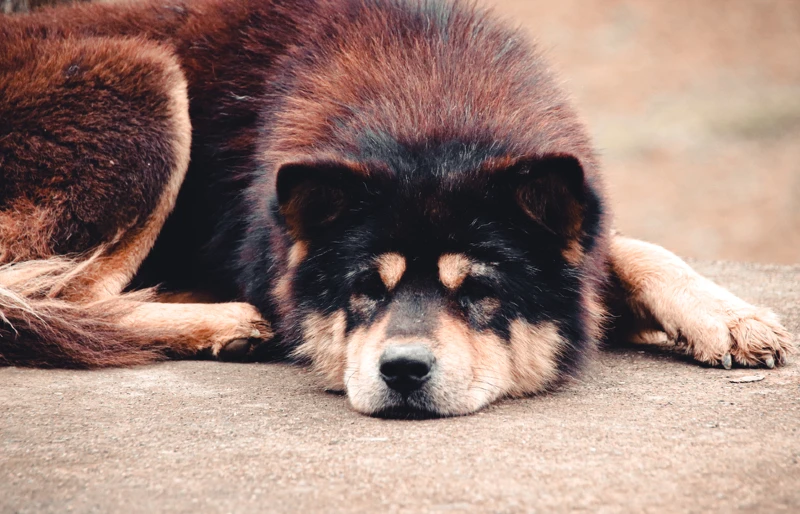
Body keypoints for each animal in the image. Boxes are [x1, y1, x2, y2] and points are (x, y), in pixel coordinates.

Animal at [0, 0, 792, 416]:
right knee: (58, 296)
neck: (431, 114)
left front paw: (726, 315)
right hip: (145, 91)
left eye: (480, 292)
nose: (403, 371)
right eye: (363, 290)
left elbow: (629, 249)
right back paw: (222, 320)